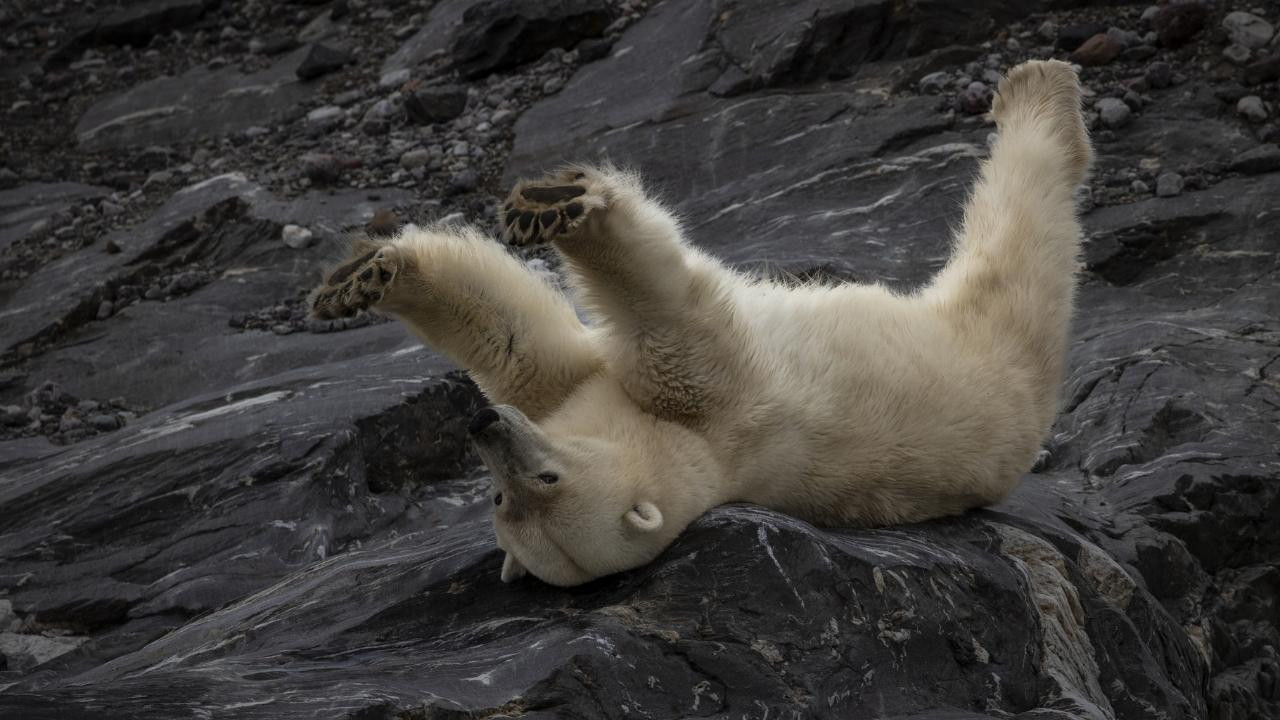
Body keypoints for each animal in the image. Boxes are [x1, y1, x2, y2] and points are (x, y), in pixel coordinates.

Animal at [309, 60, 1090, 584]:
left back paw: (1034, 87)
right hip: (982, 347)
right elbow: (528, 336)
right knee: (1018, 247)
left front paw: (367, 276)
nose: (482, 423)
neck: (694, 455)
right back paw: (1039, 92)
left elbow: (544, 336)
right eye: (503, 497)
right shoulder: (698, 408)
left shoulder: (705, 402)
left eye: (547, 480)